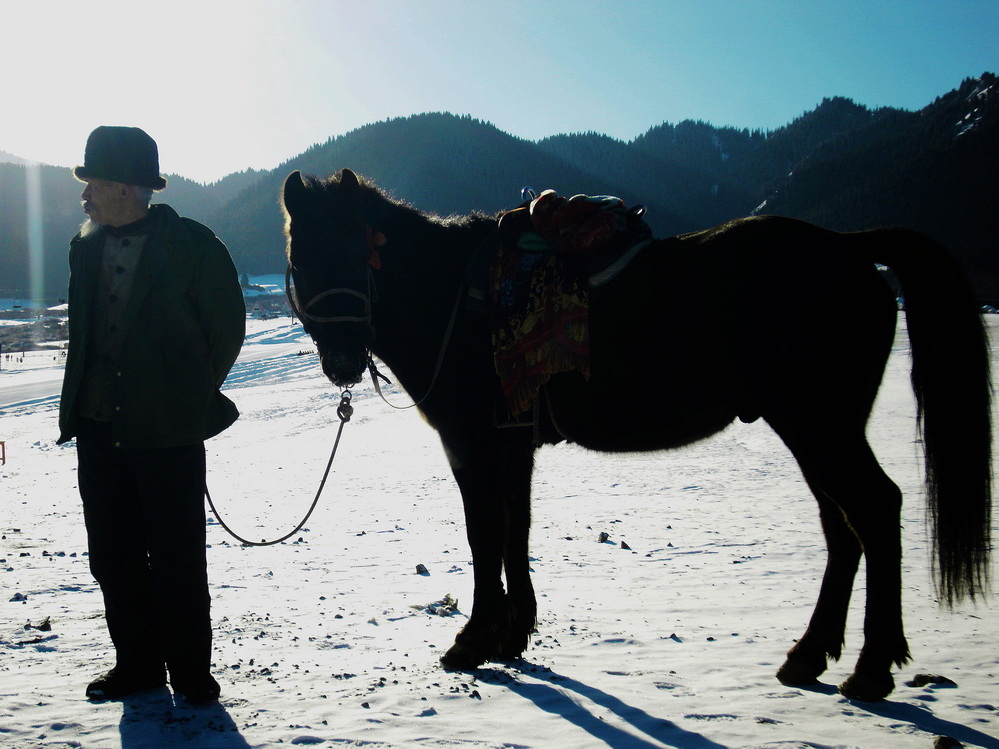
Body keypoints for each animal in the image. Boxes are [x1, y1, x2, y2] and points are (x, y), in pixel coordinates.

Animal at [284, 168, 992, 700]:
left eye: (356, 249)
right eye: (301, 256)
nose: (343, 361)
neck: (459, 298)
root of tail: (850, 247)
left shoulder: (475, 444)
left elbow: (484, 536)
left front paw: (473, 641)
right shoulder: (513, 445)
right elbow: (516, 534)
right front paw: (514, 635)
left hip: (820, 424)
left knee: (874, 510)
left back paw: (871, 669)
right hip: (813, 430)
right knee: (842, 527)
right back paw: (809, 656)